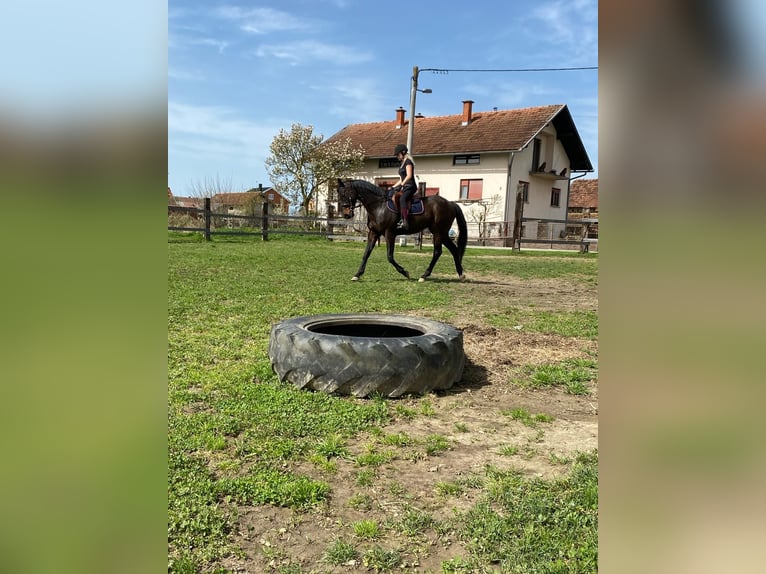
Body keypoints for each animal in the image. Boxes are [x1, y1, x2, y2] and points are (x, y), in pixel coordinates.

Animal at [338, 178, 468, 282]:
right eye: (339, 195)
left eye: (345, 193)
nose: (346, 214)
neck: (379, 206)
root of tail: (450, 203)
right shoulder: (373, 233)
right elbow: (366, 254)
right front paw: (357, 275)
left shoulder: (389, 233)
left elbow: (390, 256)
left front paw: (405, 273)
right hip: (442, 233)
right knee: (453, 249)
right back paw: (460, 274)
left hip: (438, 232)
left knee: (437, 252)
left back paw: (424, 275)